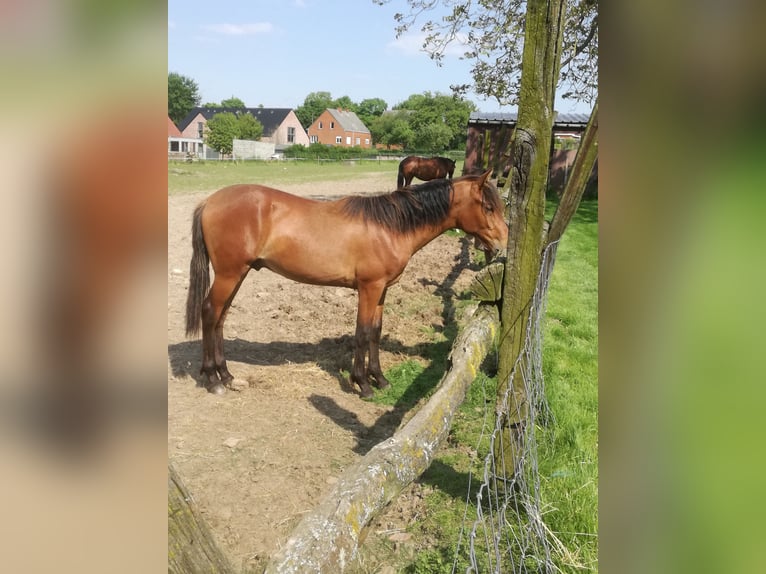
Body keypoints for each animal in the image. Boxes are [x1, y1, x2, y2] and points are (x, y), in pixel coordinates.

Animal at [185, 170, 507, 398]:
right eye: (488, 206)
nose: (503, 244)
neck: (389, 226)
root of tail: (209, 202)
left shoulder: (382, 290)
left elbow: (375, 332)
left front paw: (380, 379)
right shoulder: (369, 288)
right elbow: (362, 333)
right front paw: (362, 383)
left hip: (237, 274)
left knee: (220, 318)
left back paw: (226, 375)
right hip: (229, 274)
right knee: (210, 313)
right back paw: (212, 379)